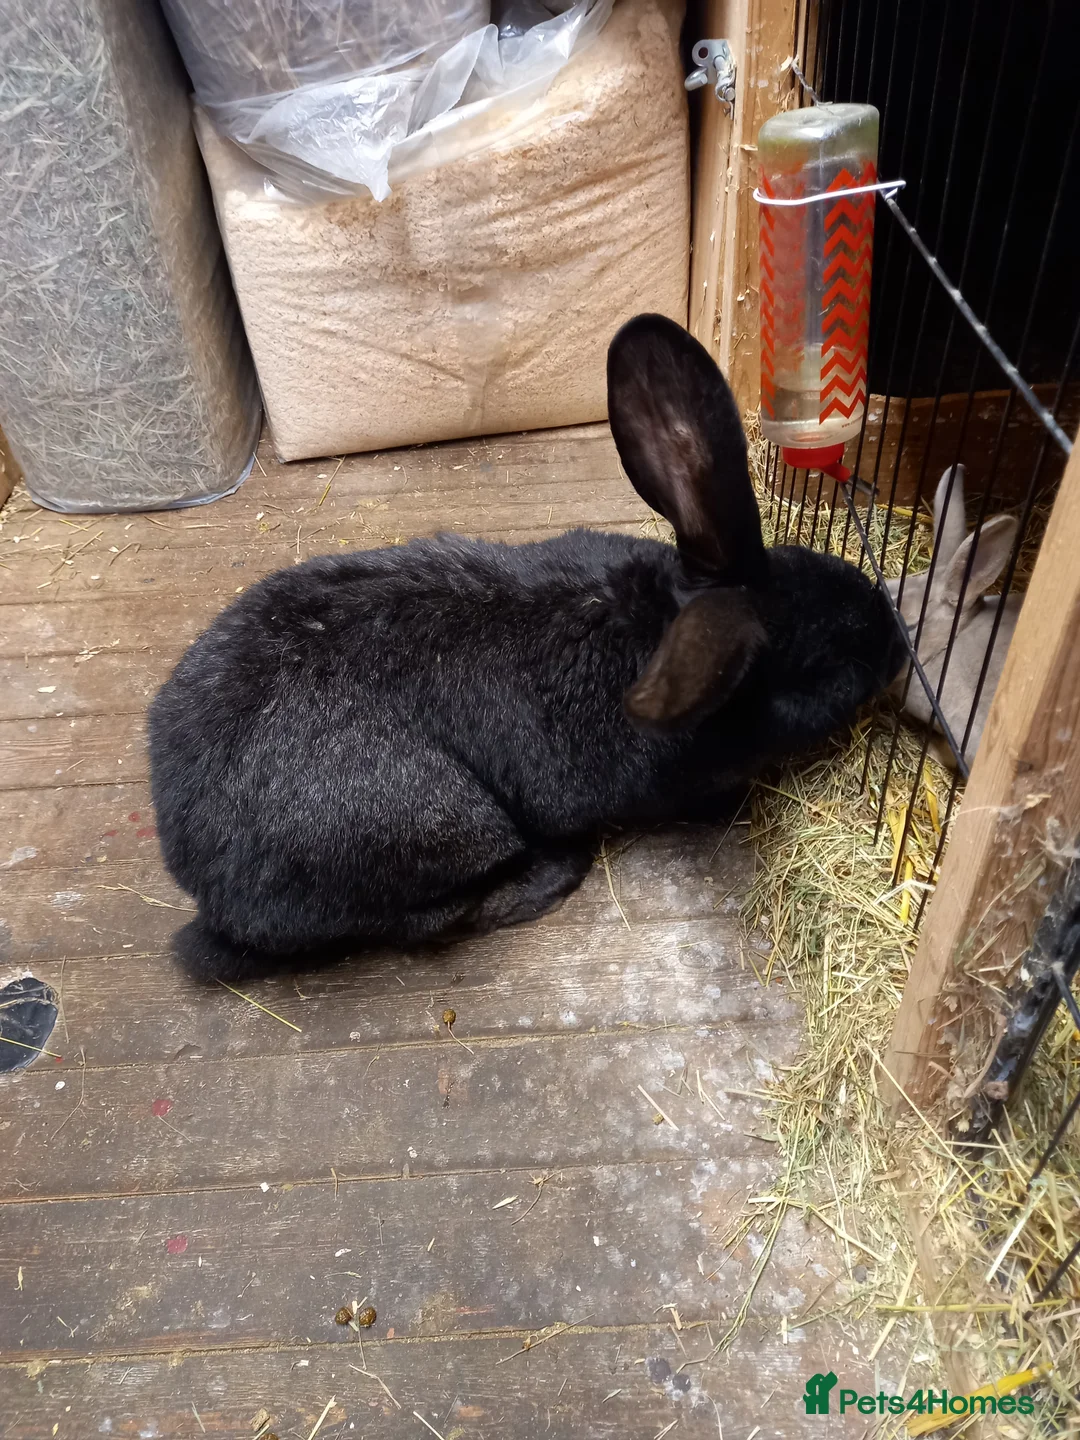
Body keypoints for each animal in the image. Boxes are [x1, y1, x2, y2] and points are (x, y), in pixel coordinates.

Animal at [147, 314, 906, 984]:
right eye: (828, 674)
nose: (896, 640)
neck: (652, 622)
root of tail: (200, 874)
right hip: (445, 826)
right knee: (432, 920)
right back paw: (554, 875)